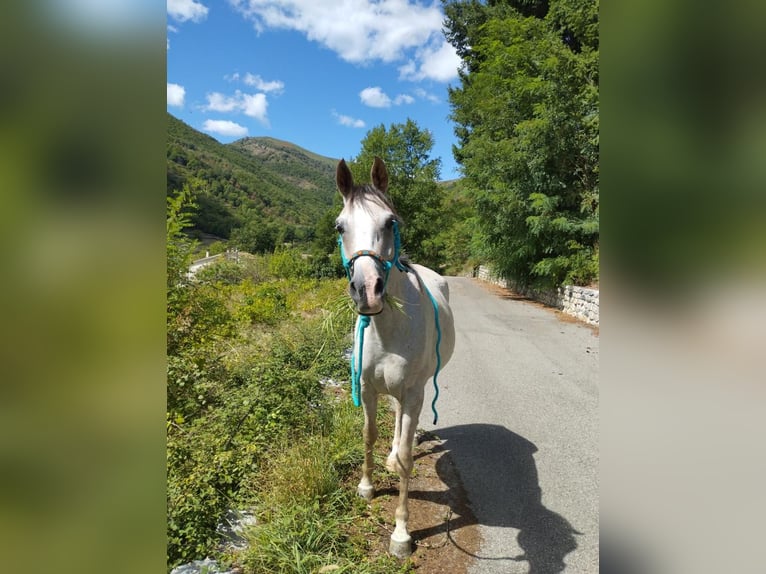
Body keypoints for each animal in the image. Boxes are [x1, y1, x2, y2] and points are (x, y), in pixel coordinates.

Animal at [335, 157, 456, 558]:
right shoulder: (368, 388)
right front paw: (366, 486)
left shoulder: (415, 392)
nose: (367, 292)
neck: (388, 329)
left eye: (390, 222)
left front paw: (401, 534)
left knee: (405, 425)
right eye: (340, 226)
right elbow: (368, 434)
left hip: (418, 389)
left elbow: (405, 457)